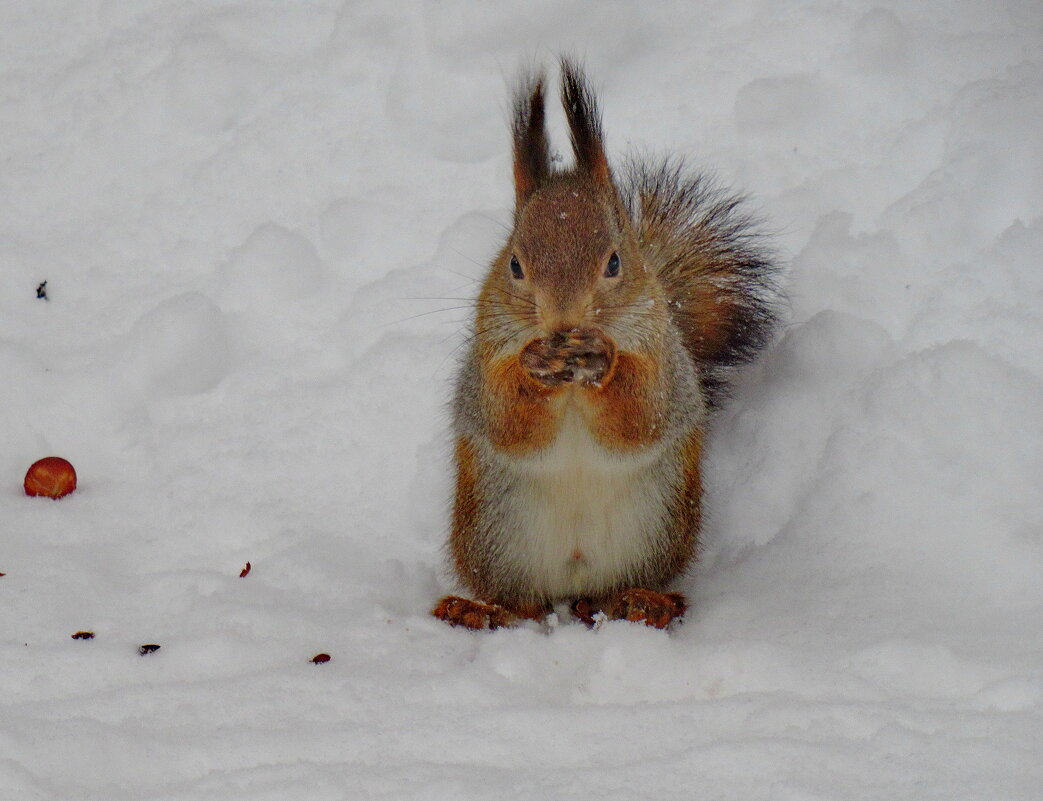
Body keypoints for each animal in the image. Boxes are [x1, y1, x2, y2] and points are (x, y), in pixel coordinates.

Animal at [427, 59, 780, 629]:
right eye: (514, 264)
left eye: (615, 261)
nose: (563, 322)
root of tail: (575, 589)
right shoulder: (485, 362)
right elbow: (506, 419)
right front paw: (534, 364)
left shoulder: (664, 356)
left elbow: (641, 416)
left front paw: (603, 361)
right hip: (493, 537)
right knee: (519, 602)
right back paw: (480, 610)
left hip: (657, 530)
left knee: (627, 589)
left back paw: (643, 602)